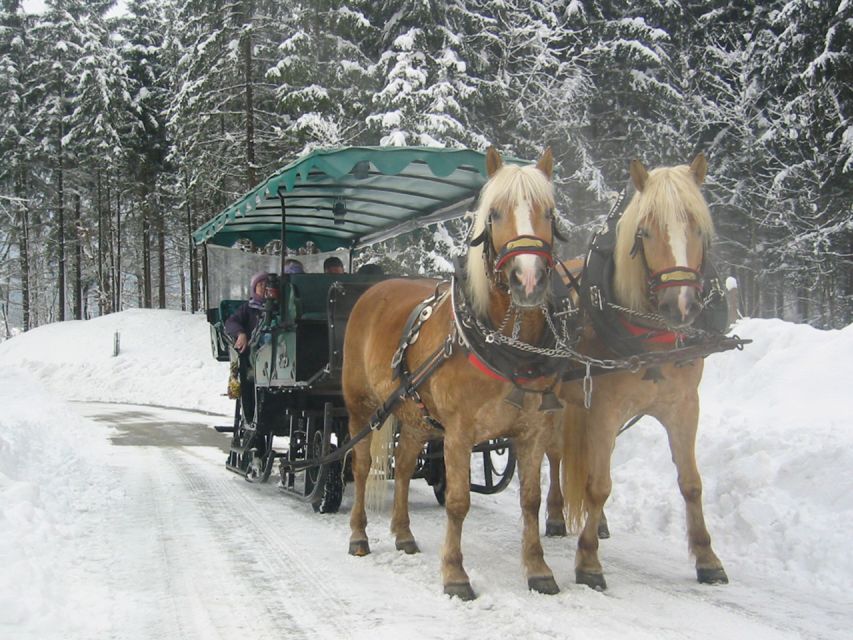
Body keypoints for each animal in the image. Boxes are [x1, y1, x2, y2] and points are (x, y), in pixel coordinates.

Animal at [340, 146, 564, 600]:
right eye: (494, 213)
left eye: (548, 213)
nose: (528, 280)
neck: (504, 344)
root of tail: (374, 289)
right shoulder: (459, 433)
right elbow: (459, 502)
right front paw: (455, 574)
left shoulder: (533, 432)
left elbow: (530, 500)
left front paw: (538, 570)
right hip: (361, 407)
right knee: (360, 466)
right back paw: (359, 535)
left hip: (415, 416)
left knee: (404, 466)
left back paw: (403, 534)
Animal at [556, 154, 728, 592]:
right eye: (645, 231)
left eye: (698, 227)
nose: (680, 305)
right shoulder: (603, 408)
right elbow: (599, 485)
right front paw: (588, 562)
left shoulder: (684, 406)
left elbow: (691, 483)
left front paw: (707, 557)